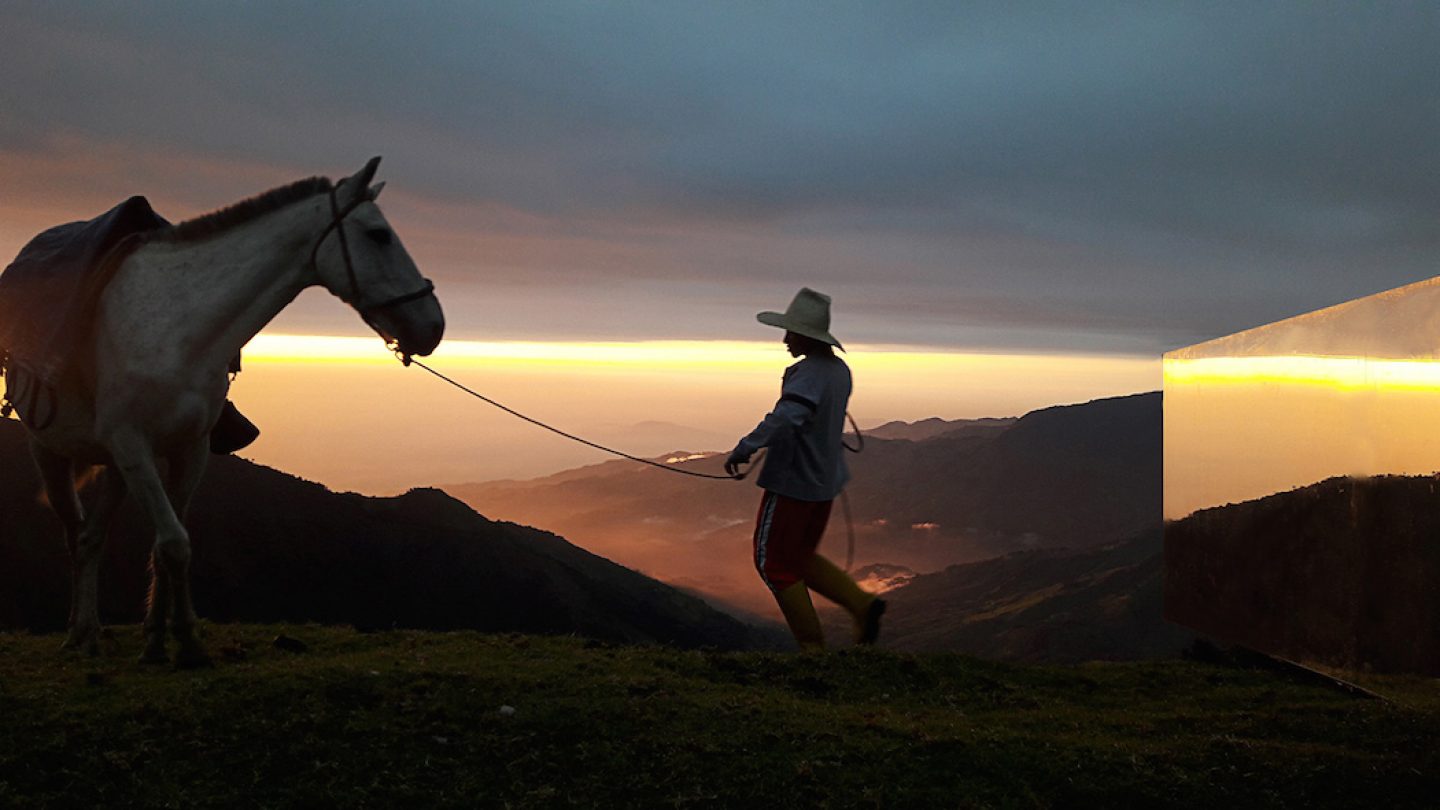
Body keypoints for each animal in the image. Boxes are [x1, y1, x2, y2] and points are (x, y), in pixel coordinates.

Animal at [5, 156, 440, 662]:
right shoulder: (133, 446)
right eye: (378, 234)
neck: (179, 329)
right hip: (50, 451)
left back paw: (91, 630)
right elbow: (174, 543)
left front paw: (166, 638)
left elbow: (169, 545)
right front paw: (183, 642)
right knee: (75, 536)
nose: (433, 325)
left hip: (114, 466)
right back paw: (79, 631)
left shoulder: (187, 450)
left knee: (91, 539)